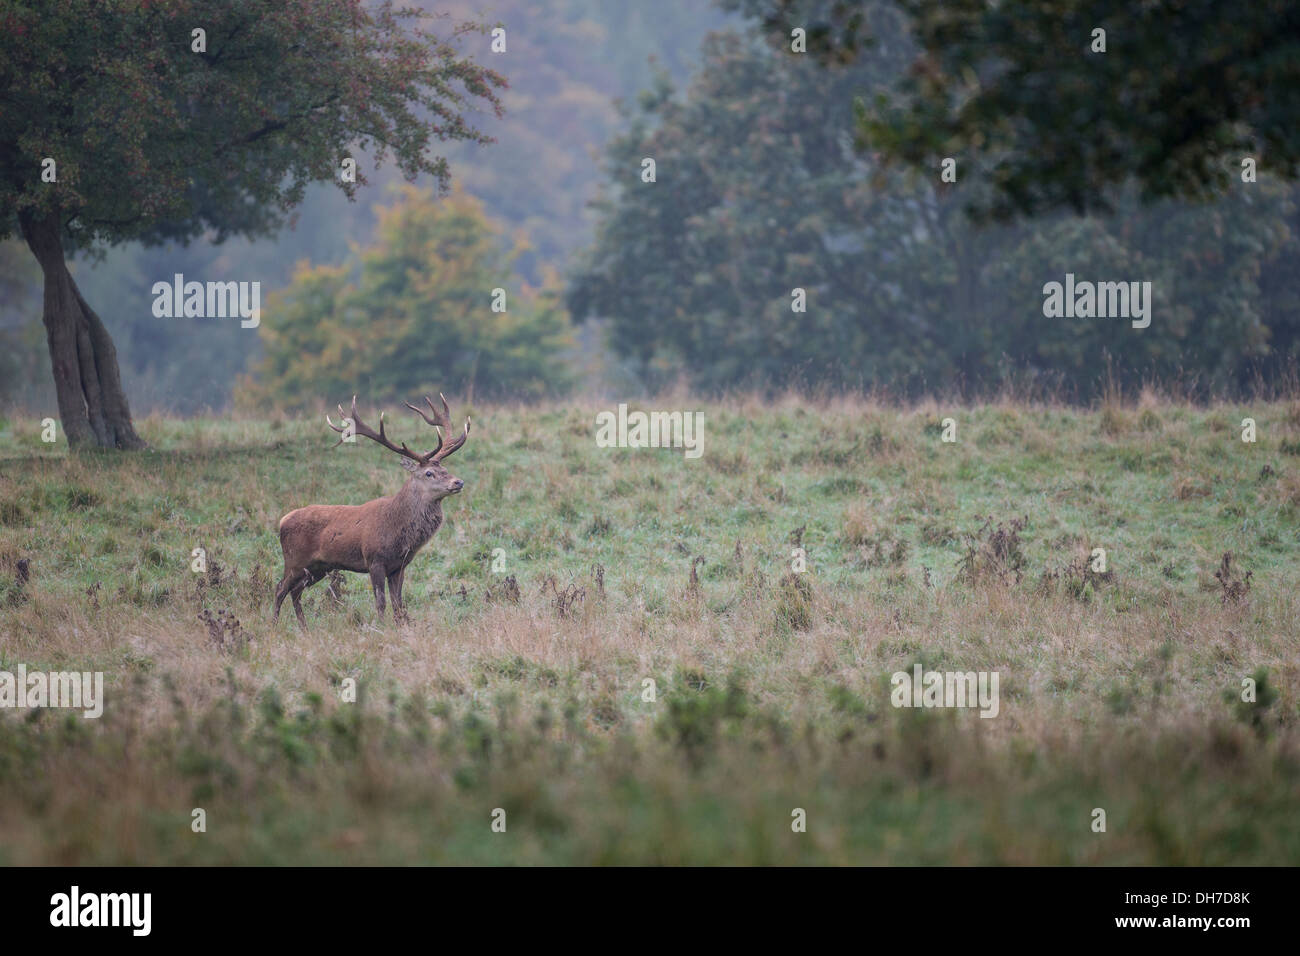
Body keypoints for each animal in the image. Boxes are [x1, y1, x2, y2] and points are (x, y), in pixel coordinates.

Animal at [273, 393, 470, 628]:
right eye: (429, 473)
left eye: (445, 469)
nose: (458, 482)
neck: (398, 531)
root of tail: (282, 521)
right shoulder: (374, 559)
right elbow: (381, 603)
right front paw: (382, 628)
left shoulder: (399, 566)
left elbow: (398, 603)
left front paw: (400, 626)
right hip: (294, 560)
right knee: (280, 589)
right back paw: (273, 625)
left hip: (317, 567)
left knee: (295, 592)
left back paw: (304, 628)